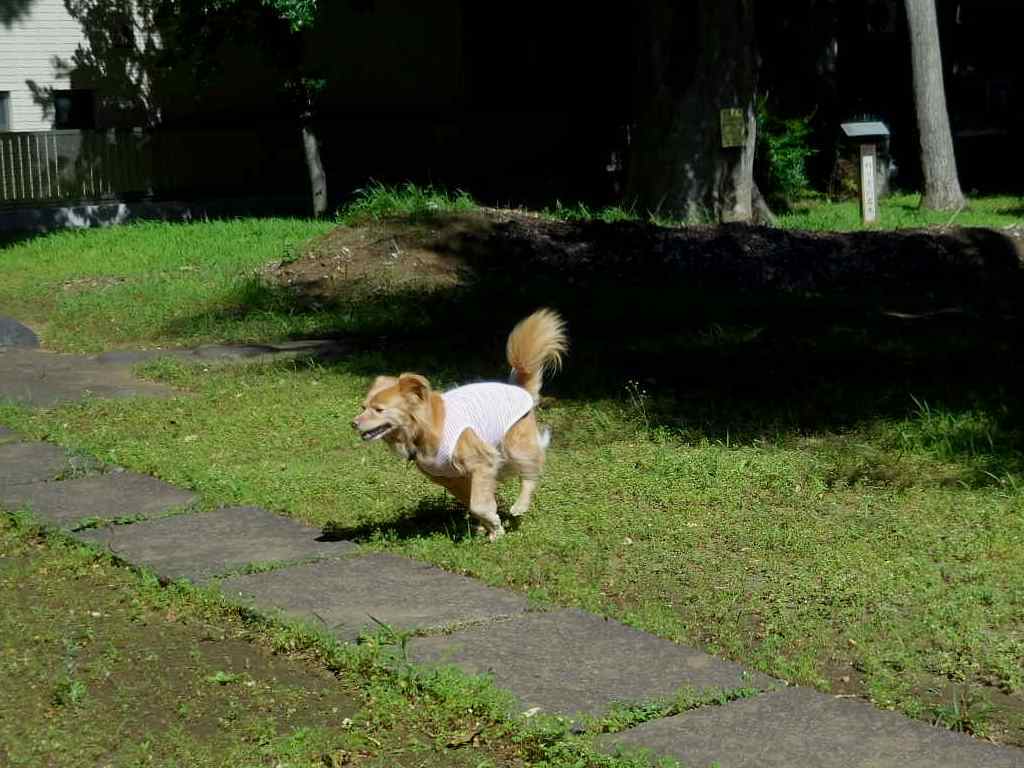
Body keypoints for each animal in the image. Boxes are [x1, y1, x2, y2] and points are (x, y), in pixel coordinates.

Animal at [352, 309, 569, 540]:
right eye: (363, 407)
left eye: (378, 410)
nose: (353, 423)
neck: (423, 430)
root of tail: (518, 388)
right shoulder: (451, 478)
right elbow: (474, 502)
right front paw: (488, 526)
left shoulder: (482, 462)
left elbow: (478, 504)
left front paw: (495, 526)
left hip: (514, 446)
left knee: (531, 471)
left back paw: (520, 505)